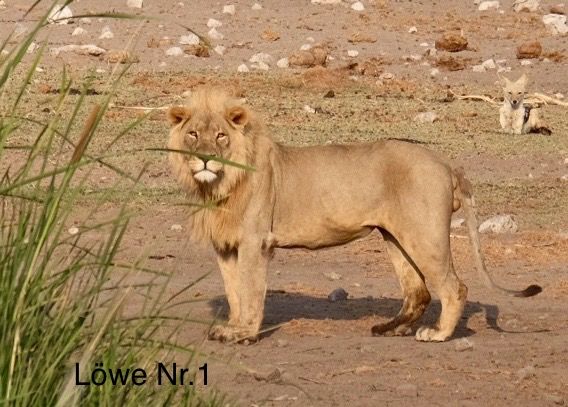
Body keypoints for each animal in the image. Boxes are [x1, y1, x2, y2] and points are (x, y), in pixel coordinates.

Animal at [165, 87, 540, 344]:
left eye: (221, 136)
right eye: (193, 134)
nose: (205, 160)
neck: (218, 185)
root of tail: (448, 165)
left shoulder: (256, 242)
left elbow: (251, 289)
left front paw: (245, 333)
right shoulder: (226, 246)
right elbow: (233, 291)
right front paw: (231, 328)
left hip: (425, 236)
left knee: (454, 287)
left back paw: (438, 334)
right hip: (396, 237)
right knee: (418, 293)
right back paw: (390, 328)